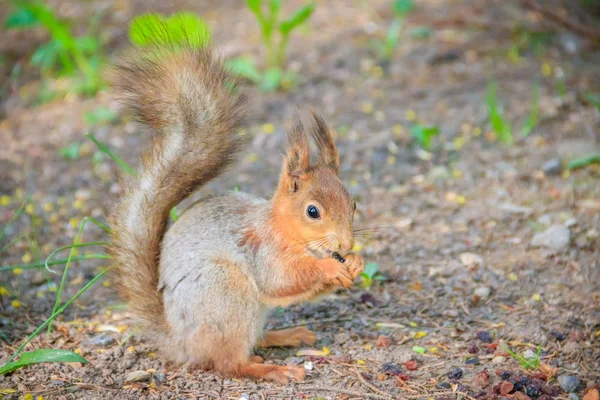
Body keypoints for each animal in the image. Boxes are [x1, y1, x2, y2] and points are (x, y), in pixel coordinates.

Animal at [108, 42, 366, 382]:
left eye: (353, 203)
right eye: (313, 211)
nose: (347, 244)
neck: (284, 229)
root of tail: (179, 342)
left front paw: (356, 262)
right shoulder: (264, 252)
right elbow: (283, 279)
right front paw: (330, 268)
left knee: (252, 342)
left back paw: (287, 335)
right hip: (225, 291)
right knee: (228, 363)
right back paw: (275, 369)